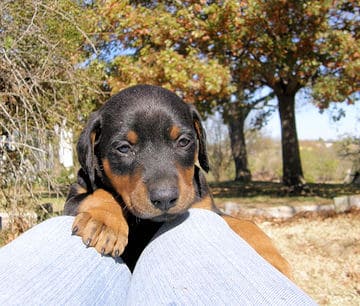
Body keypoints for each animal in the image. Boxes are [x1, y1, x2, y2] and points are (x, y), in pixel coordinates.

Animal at [63, 83, 292, 278]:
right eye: (124, 148)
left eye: (183, 142)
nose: (165, 199)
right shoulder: (72, 199)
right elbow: (102, 194)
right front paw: (103, 221)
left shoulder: (208, 209)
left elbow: (246, 222)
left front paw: (274, 258)